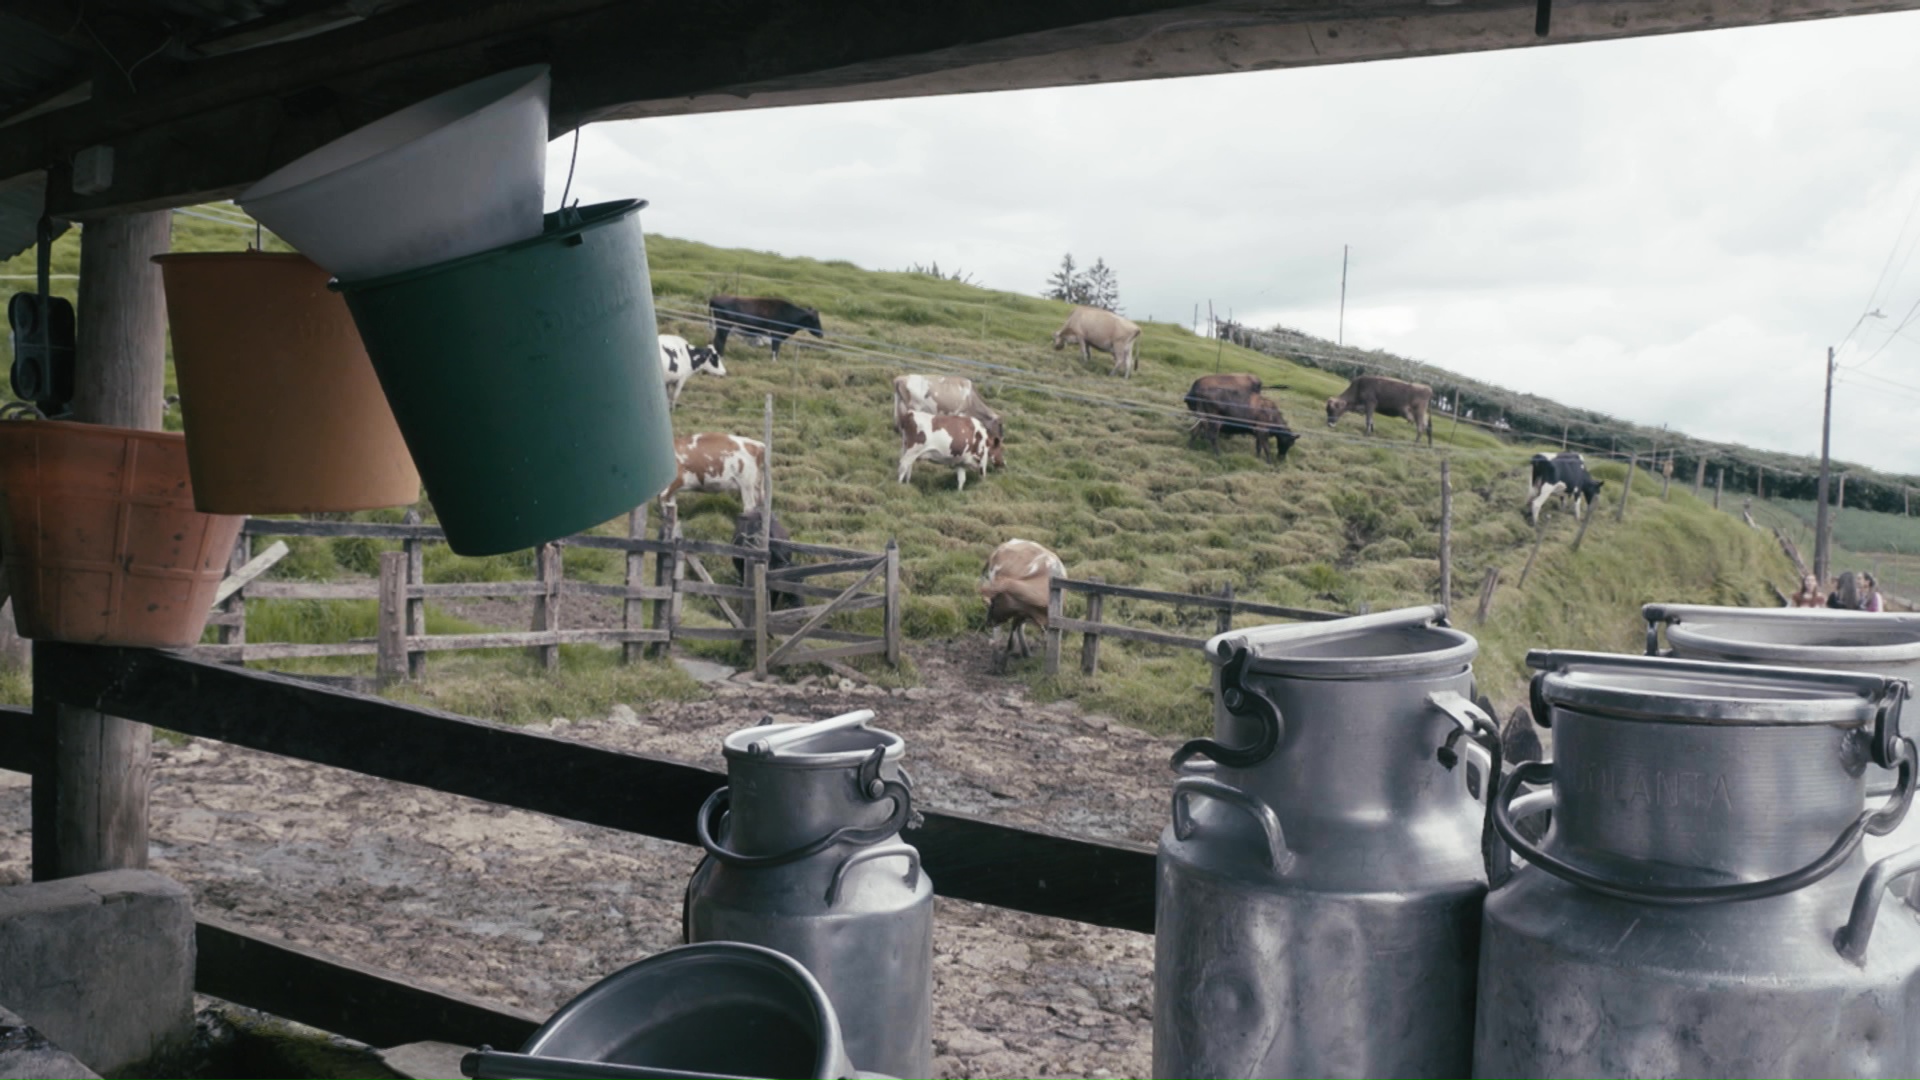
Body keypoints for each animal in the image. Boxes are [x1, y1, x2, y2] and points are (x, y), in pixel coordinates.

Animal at [975, 538, 1067, 672]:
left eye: (996, 600)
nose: (988, 621)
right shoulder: (1019, 612)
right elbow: (1011, 642)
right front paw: (1001, 666)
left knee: (1019, 628)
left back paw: (1025, 652)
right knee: (999, 631)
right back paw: (996, 654)